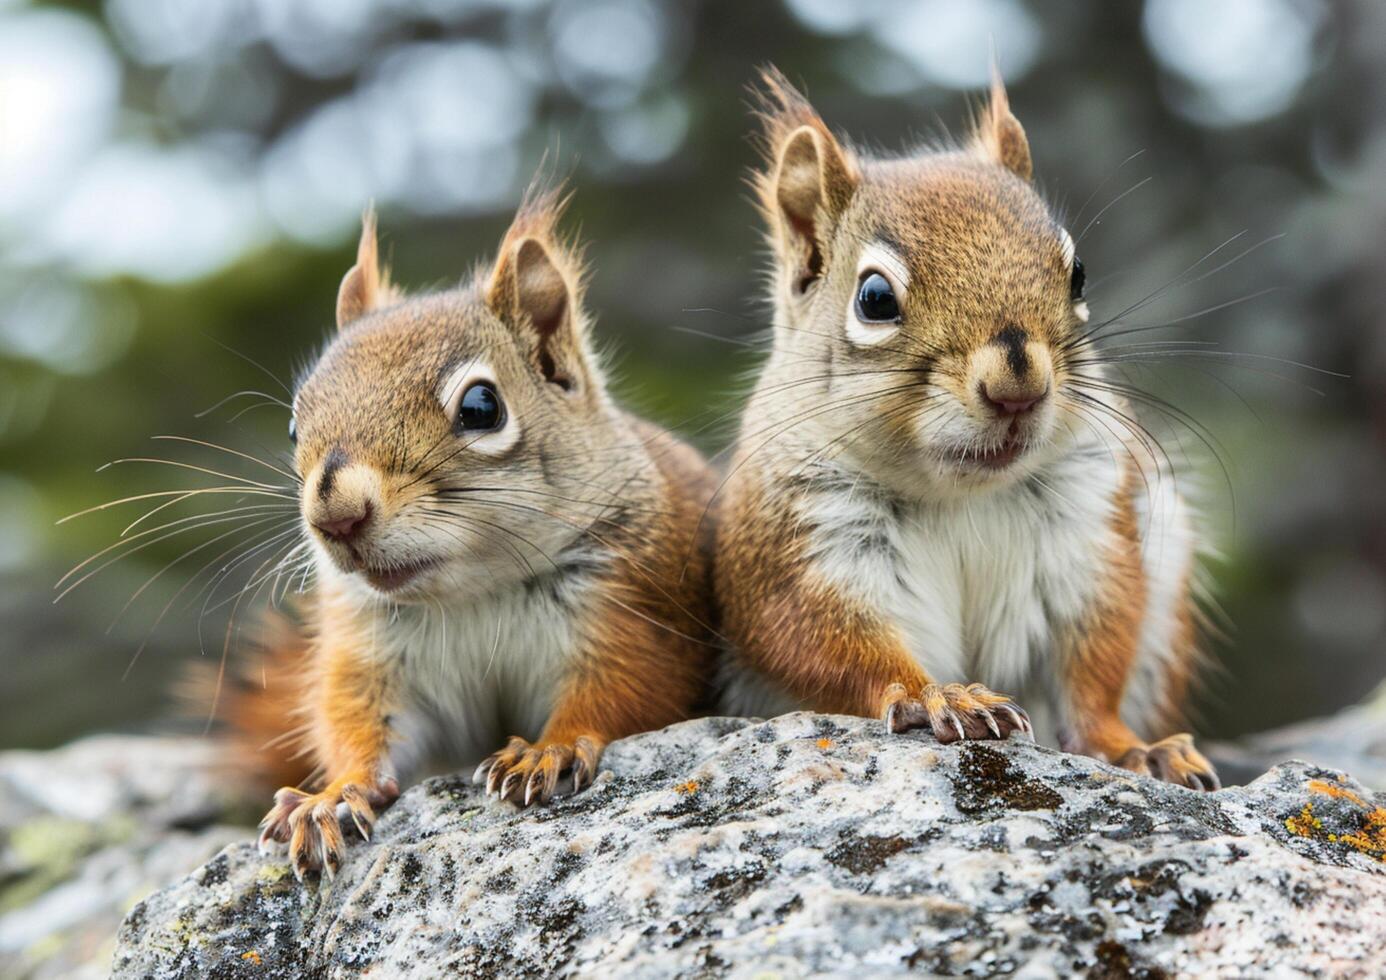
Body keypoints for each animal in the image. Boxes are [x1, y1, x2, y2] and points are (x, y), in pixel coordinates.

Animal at [243, 188, 715, 876]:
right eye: (294, 427)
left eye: (481, 407)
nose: (336, 516)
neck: (473, 593)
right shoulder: (369, 652)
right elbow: (360, 725)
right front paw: (331, 796)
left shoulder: (631, 613)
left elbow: (618, 694)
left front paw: (549, 750)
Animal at [709, 67, 1219, 787]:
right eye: (873, 299)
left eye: (1078, 273)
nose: (1017, 385)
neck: (959, 493)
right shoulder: (803, 550)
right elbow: (826, 641)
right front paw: (941, 696)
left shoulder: (1088, 535)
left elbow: (1096, 660)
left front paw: (1132, 749)